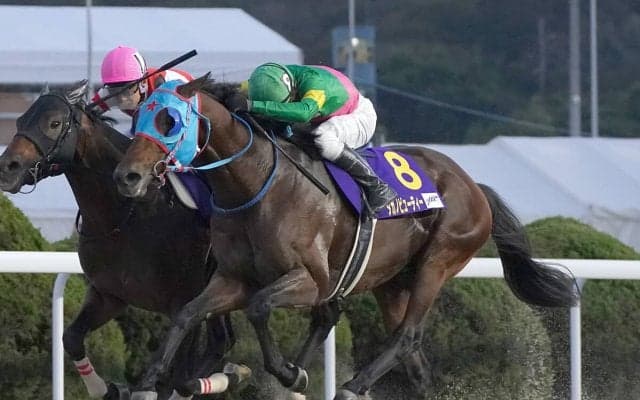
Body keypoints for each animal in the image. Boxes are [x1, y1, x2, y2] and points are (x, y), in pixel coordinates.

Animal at [0, 81, 245, 400]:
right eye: (19, 121)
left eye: (54, 123)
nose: (8, 168)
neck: (127, 215)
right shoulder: (110, 295)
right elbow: (72, 338)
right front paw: (108, 388)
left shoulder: (182, 303)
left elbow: (172, 373)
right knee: (220, 342)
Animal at [112, 75, 578, 400]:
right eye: (136, 118)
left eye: (169, 120)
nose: (127, 176)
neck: (253, 185)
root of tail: (475, 186)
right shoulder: (232, 279)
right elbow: (187, 313)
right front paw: (149, 378)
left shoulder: (312, 280)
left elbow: (261, 308)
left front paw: (289, 372)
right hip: (392, 281)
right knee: (412, 357)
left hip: (438, 262)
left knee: (408, 336)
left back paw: (353, 385)